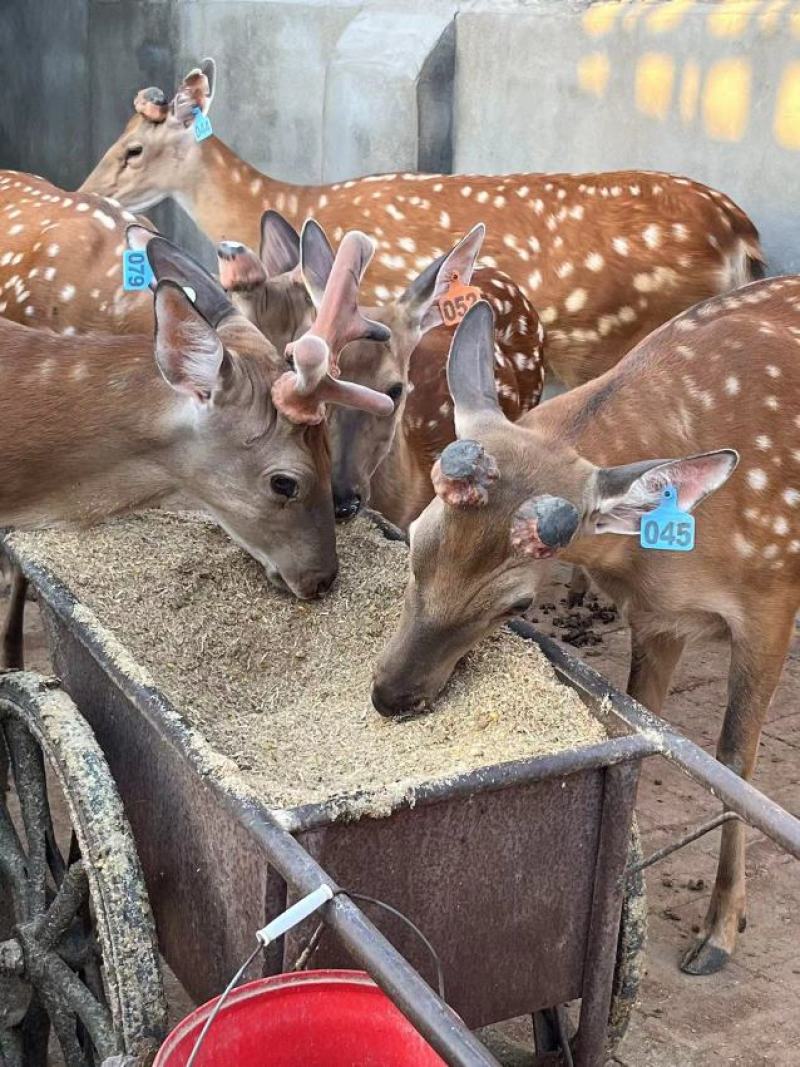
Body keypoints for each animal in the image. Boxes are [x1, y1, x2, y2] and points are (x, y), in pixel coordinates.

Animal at [372, 279, 800, 977]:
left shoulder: (773, 596)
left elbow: (735, 762)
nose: (391, 695)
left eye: (517, 604)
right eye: (414, 538)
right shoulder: (658, 616)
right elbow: (643, 726)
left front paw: (719, 932)